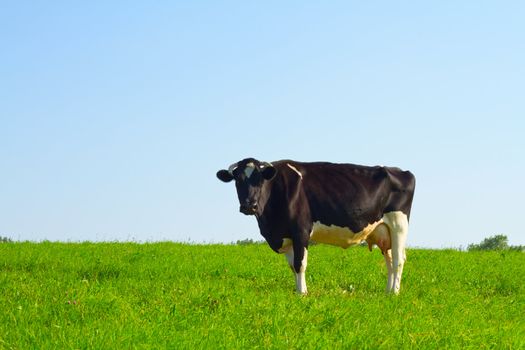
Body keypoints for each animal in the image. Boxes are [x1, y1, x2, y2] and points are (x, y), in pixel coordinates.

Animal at [215, 159, 416, 296]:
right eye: (237, 180)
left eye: (260, 179)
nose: (249, 205)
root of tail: (401, 171)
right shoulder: (287, 237)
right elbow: (292, 266)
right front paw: (297, 290)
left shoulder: (301, 231)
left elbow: (300, 264)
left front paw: (302, 293)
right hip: (384, 232)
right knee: (389, 261)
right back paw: (388, 291)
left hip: (398, 224)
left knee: (398, 260)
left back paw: (395, 293)